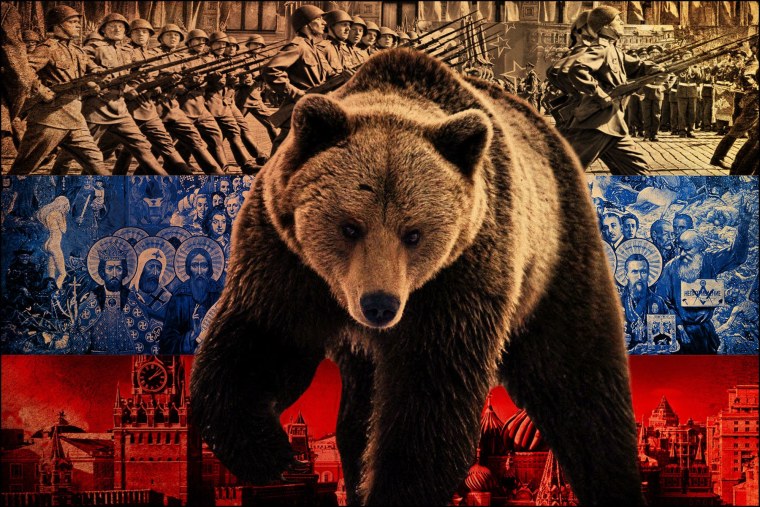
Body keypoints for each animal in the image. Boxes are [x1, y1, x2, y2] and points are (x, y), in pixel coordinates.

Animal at [190, 48, 643, 506]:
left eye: (414, 233)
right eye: (349, 227)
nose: (379, 304)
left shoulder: (461, 275)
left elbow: (430, 396)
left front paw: (394, 487)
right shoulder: (285, 259)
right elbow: (262, 342)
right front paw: (272, 455)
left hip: (554, 262)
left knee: (580, 385)